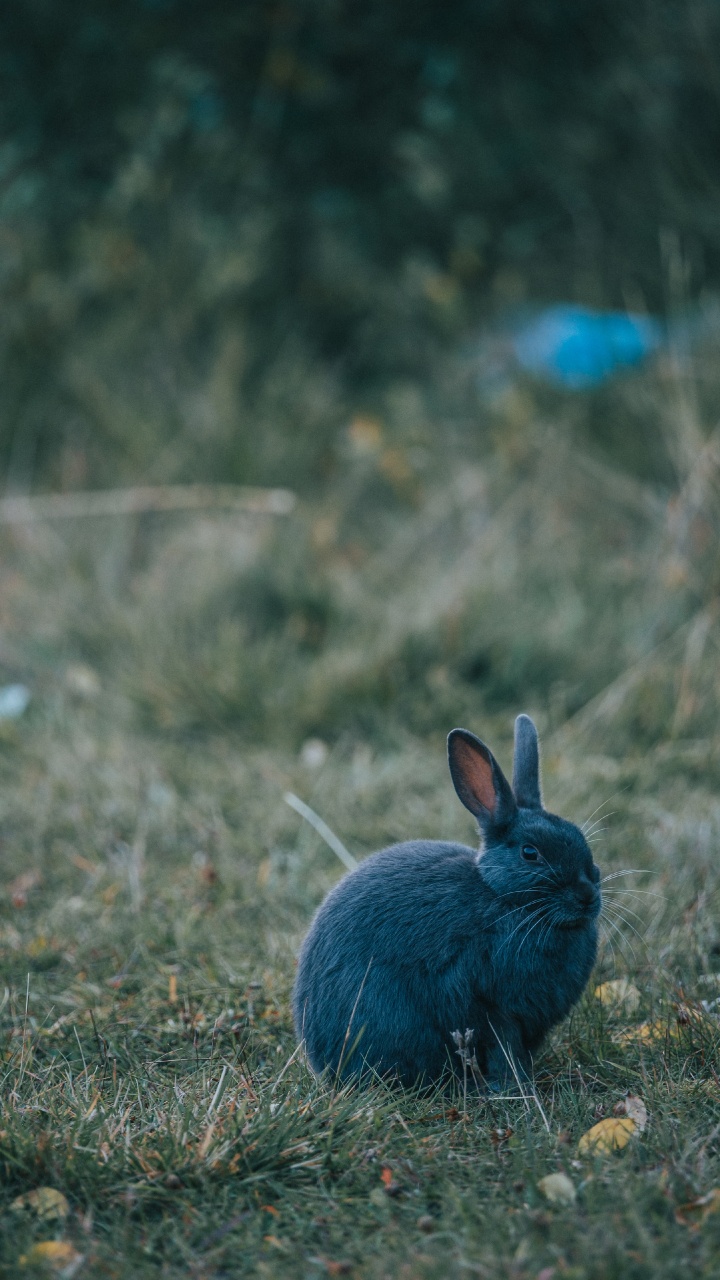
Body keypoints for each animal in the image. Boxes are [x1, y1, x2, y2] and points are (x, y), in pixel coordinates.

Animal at [292, 715, 601, 1090]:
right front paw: (512, 1087)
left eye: (581, 839)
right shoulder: (490, 1005)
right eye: (531, 853)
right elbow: (503, 1049)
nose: (587, 895)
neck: (504, 900)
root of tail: (320, 1058)